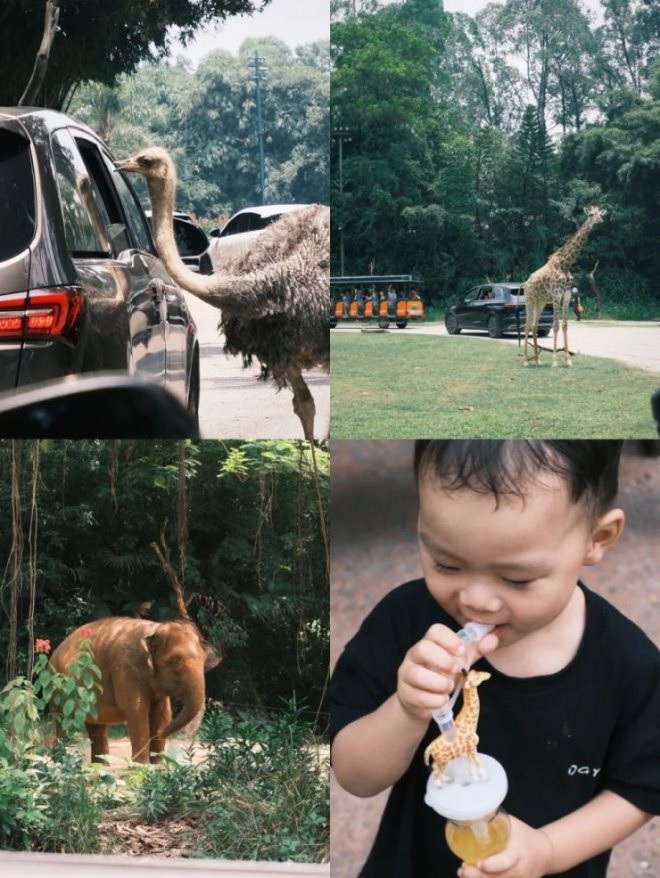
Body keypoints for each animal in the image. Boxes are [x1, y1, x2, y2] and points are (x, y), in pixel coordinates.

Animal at [51, 620, 222, 764]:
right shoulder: (126, 670)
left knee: (96, 725)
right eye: (174, 661)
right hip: (59, 685)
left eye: (204, 661)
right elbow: (137, 711)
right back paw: (61, 761)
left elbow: (161, 713)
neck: (154, 629)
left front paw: (158, 763)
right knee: (63, 720)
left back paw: (100, 766)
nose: (163, 733)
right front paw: (142, 764)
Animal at [524, 207, 604, 368]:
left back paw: (537, 360)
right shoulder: (556, 296)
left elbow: (565, 325)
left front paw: (568, 359)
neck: (565, 264)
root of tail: (525, 284)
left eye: (600, 213)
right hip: (529, 300)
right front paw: (555, 361)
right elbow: (555, 325)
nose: (600, 220)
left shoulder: (566, 296)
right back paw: (525, 361)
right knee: (526, 325)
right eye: (591, 214)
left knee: (534, 325)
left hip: (540, 302)